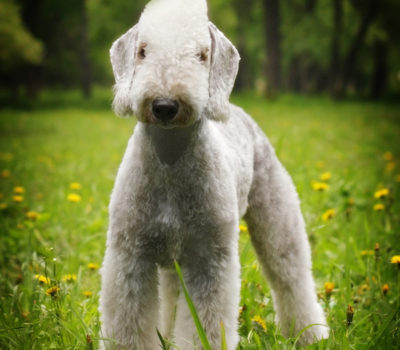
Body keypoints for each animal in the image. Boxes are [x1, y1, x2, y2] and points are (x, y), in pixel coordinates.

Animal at [99, 0, 328, 348]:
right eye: (142, 51)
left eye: (201, 54)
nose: (164, 105)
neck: (171, 159)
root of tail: (243, 114)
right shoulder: (130, 255)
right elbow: (127, 324)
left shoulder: (208, 259)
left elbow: (204, 324)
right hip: (172, 260)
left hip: (277, 218)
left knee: (291, 277)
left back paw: (309, 334)